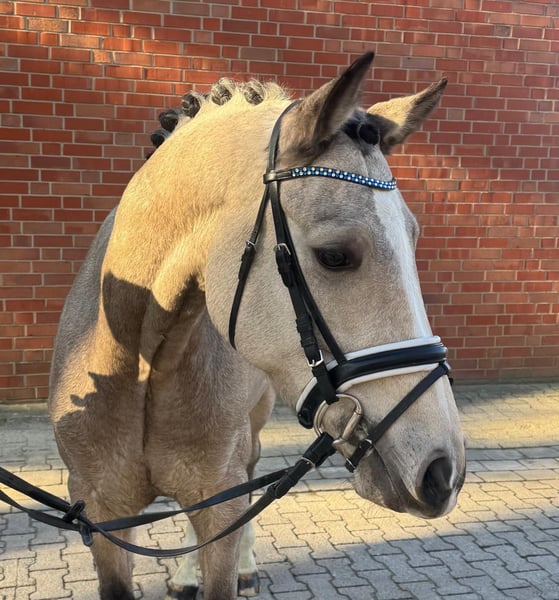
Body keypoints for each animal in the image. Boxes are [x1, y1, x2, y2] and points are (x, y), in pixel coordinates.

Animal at [48, 52, 466, 600]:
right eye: (335, 255)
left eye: (414, 237)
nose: (443, 472)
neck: (140, 362)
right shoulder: (100, 514)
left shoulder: (220, 499)